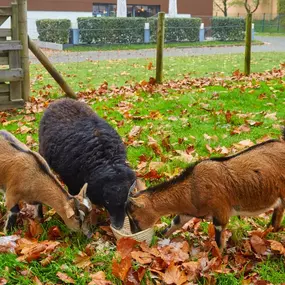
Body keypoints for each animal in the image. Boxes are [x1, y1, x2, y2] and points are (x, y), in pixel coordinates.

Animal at [38, 97, 136, 229]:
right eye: (107, 201)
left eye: (126, 199)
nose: (118, 226)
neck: (106, 158)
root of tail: (60, 100)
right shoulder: (72, 183)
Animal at [126, 132, 284, 247]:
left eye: (134, 217)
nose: (134, 233)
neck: (192, 187)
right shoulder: (189, 211)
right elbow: (175, 223)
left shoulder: (220, 212)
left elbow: (219, 239)